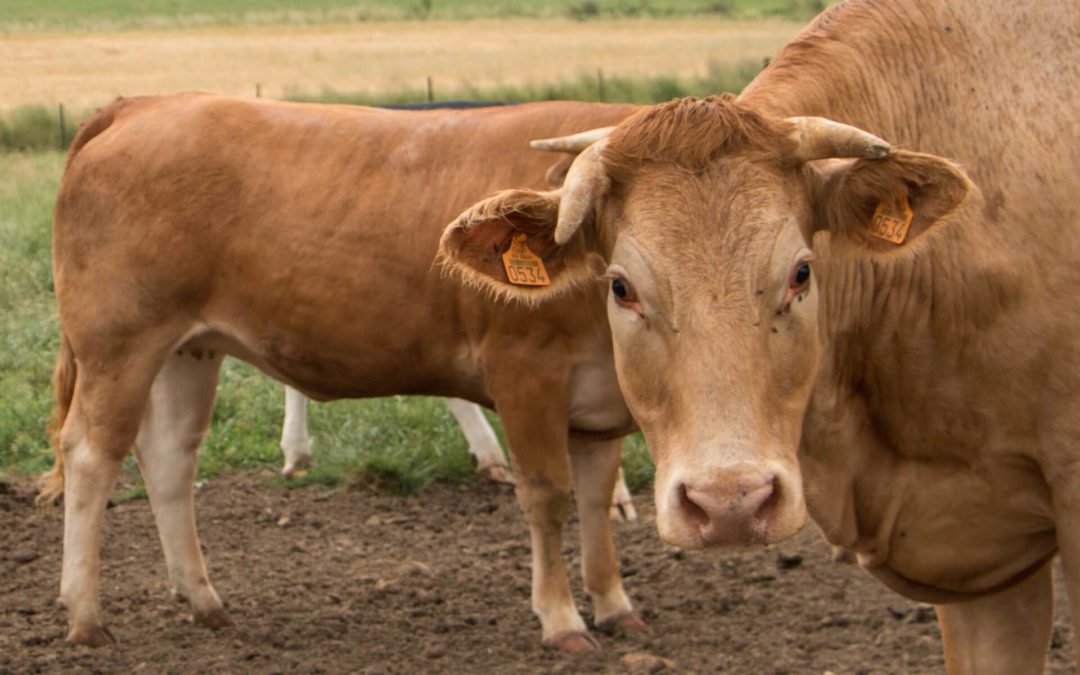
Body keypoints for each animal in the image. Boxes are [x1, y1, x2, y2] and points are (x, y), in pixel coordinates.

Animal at [42, 97, 648, 652]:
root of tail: (142, 104)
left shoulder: (600, 398)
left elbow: (595, 497)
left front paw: (615, 606)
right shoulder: (526, 369)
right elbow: (549, 496)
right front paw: (562, 621)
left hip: (187, 350)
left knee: (169, 456)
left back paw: (204, 600)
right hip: (119, 345)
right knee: (90, 455)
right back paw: (86, 615)